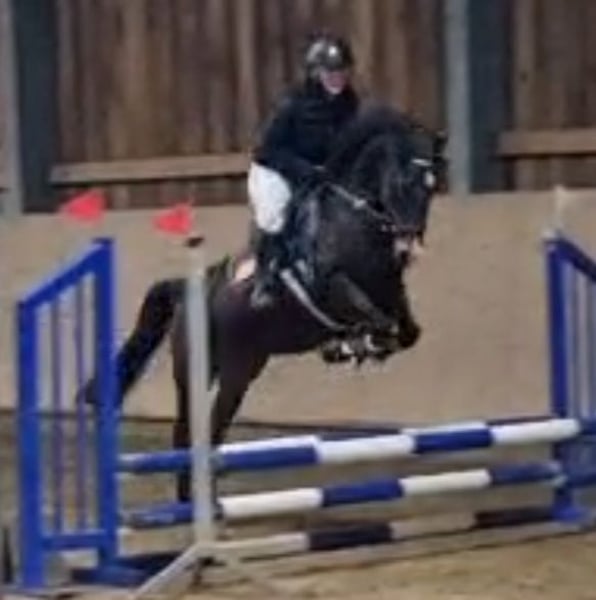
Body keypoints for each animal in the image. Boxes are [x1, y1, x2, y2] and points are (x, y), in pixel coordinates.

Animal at [82, 104, 447, 500]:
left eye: (432, 188)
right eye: (401, 183)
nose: (409, 245)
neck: (355, 218)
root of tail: (190, 287)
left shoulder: (389, 291)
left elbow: (407, 330)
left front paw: (357, 345)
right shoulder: (331, 285)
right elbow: (376, 320)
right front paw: (360, 345)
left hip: (243, 368)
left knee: (213, 429)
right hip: (198, 369)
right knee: (187, 432)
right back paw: (192, 502)